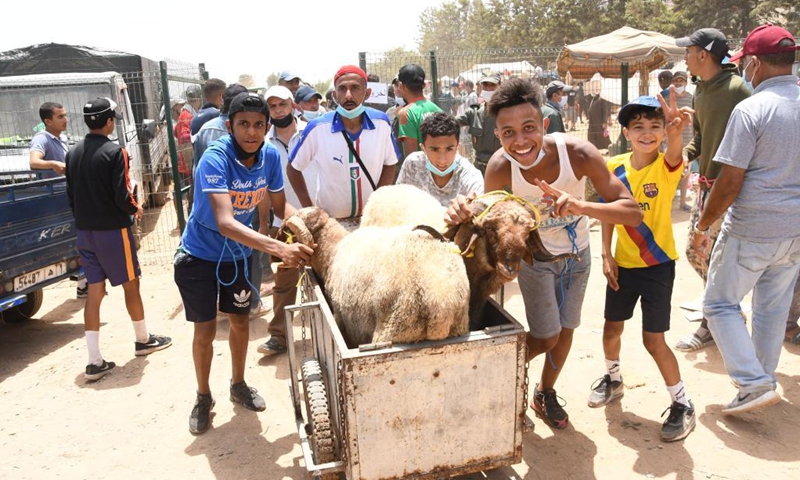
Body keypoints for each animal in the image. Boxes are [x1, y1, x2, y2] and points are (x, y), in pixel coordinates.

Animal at [282, 206, 472, 348]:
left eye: (285, 231)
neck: (332, 250)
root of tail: (440, 302)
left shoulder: (340, 317)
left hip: (393, 330)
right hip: (459, 326)